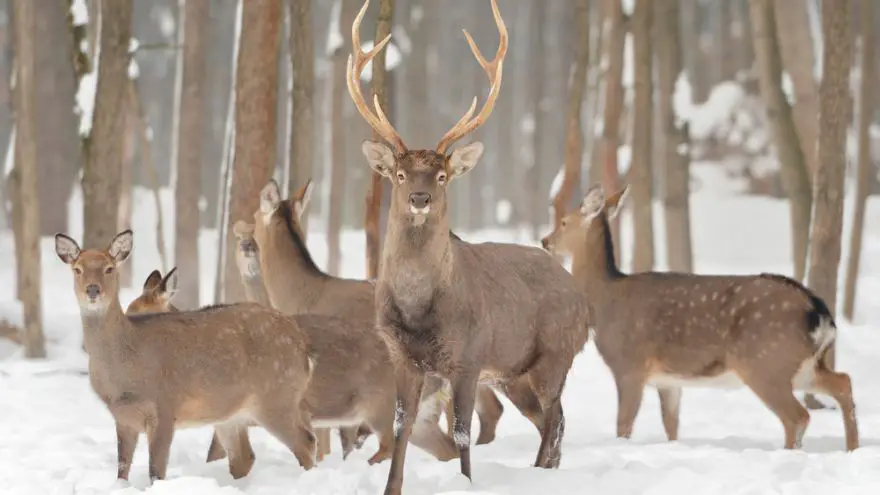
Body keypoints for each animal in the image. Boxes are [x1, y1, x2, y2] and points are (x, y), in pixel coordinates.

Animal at [53, 231, 318, 482]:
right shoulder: (123, 417)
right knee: (244, 457)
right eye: (77, 269)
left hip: (277, 396)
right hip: (232, 414)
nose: (93, 290)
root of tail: (301, 343)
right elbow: (121, 470)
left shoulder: (164, 406)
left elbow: (156, 471)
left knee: (306, 441)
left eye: (109, 268)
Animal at [348, 1, 588, 494]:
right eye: (400, 174)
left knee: (555, 421)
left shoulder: (469, 357)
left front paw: (466, 481)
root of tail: (584, 299)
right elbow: (400, 425)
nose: (420, 198)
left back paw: (541, 473)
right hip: (515, 373)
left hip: (556, 354)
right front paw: (391, 487)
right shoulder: (401, 356)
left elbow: (461, 432)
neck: (419, 312)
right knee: (549, 421)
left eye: (441, 175)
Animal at [540, 186, 856, 454]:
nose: (545, 241)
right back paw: (852, 449)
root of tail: (818, 311)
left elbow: (623, 425)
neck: (605, 299)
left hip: (764, 360)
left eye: (565, 222)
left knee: (798, 416)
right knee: (843, 382)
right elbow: (671, 427)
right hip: (802, 364)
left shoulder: (629, 365)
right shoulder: (668, 380)